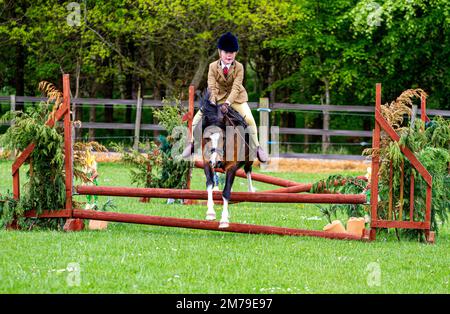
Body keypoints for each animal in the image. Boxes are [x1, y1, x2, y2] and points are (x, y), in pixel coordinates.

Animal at [200, 91, 256, 228]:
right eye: (207, 138)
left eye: (224, 138)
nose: (215, 161)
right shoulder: (207, 162)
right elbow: (209, 184)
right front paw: (210, 213)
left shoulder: (232, 167)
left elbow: (226, 191)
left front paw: (224, 220)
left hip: (249, 158)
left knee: (248, 170)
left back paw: (251, 191)